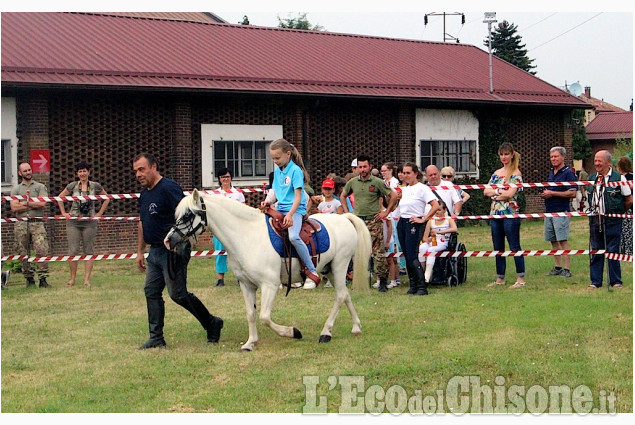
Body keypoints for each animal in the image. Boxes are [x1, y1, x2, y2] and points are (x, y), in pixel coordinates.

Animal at [164, 190, 372, 352]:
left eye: (188, 215)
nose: (168, 240)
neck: (247, 235)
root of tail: (344, 218)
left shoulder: (270, 285)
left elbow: (264, 317)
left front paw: (293, 332)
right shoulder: (246, 285)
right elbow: (251, 314)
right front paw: (250, 343)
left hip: (340, 265)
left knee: (340, 296)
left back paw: (326, 332)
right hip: (330, 270)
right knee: (345, 295)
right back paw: (356, 327)